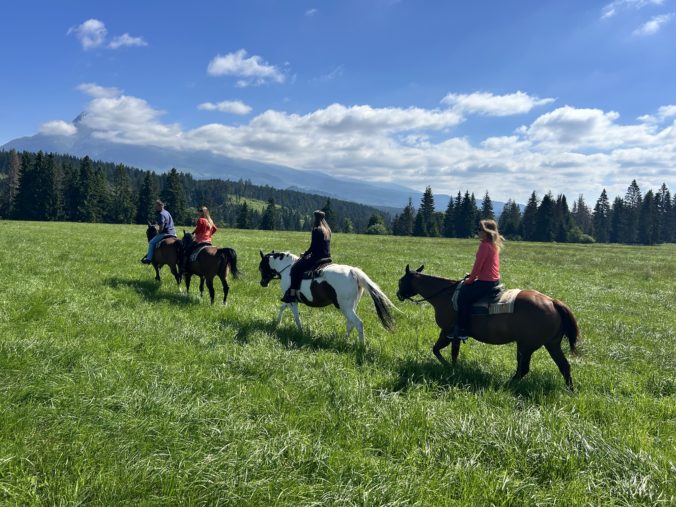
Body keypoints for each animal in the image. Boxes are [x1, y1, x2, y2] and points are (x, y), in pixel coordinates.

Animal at [258, 251, 396, 346]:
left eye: (261, 267)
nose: (262, 283)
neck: (288, 269)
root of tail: (352, 271)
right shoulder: (291, 300)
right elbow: (282, 307)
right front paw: (277, 322)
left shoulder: (292, 300)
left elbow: (296, 317)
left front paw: (300, 331)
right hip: (350, 307)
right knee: (350, 324)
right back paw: (344, 340)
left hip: (345, 307)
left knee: (358, 323)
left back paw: (361, 346)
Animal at [396, 264, 580, 390]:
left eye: (401, 281)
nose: (398, 294)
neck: (445, 295)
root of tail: (553, 302)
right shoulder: (449, 334)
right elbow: (442, 350)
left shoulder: (449, 332)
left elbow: (443, 351)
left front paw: (451, 368)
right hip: (551, 344)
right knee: (564, 366)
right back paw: (570, 390)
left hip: (525, 346)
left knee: (523, 369)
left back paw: (507, 384)